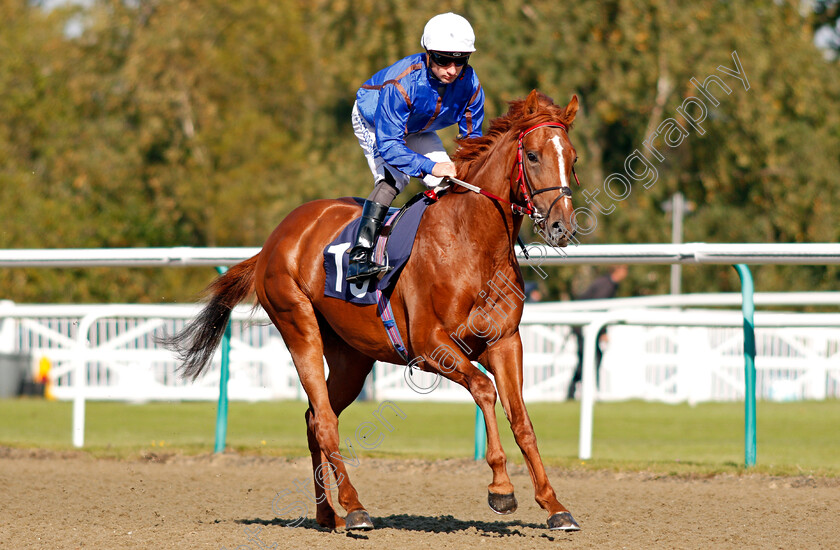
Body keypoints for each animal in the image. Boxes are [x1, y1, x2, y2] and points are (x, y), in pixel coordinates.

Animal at [167, 90, 580, 536]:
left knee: (315, 417)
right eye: (533, 156)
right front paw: (501, 489)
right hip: (298, 326)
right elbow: (485, 391)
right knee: (325, 421)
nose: (562, 227)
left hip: (352, 357)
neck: (470, 243)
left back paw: (327, 514)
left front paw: (555, 505)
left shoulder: (505, 341)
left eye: (572, 157)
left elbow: (521, 418)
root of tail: (274, 240)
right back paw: (355, 508)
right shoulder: (430, 346)